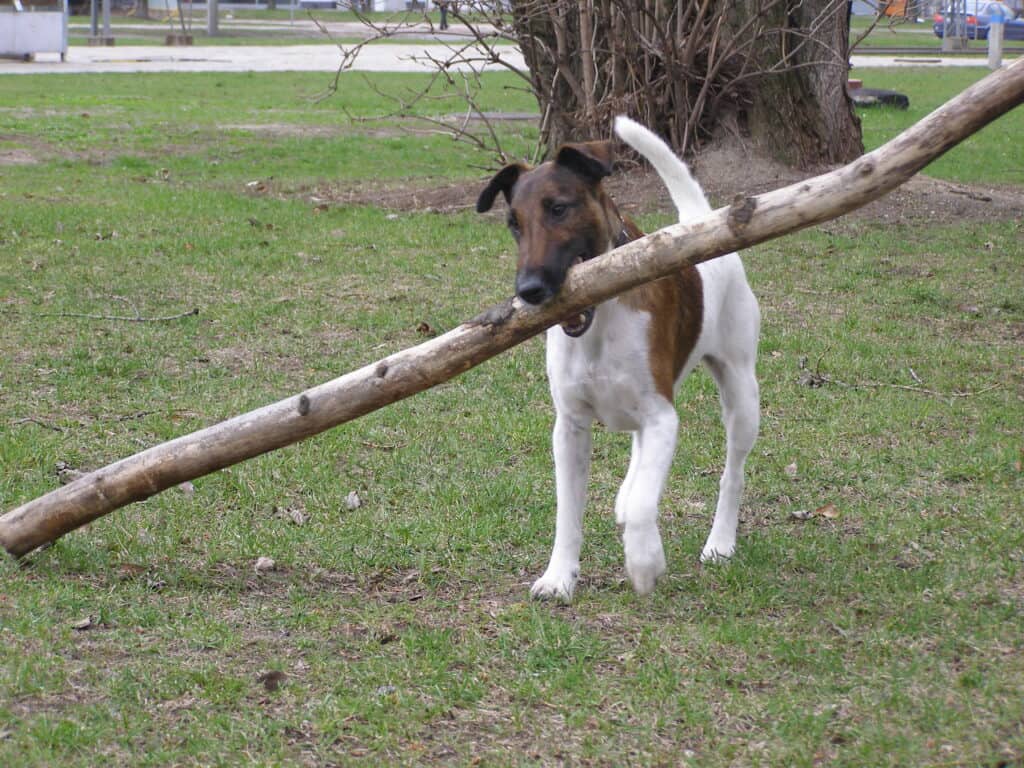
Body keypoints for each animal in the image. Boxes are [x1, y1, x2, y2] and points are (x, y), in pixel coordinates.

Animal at [473, 115, 761, 602]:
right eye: (513, 224)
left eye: (559, 208)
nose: (529, 291)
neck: (600, 319)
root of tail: (696, 221)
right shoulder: (570, 427)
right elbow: (568, 512)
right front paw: (559, 576)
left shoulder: (663, 416)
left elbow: (648, 501)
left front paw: (645, 562)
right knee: (639, 455)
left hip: (742, 392)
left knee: (732, 473)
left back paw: (720, 542)